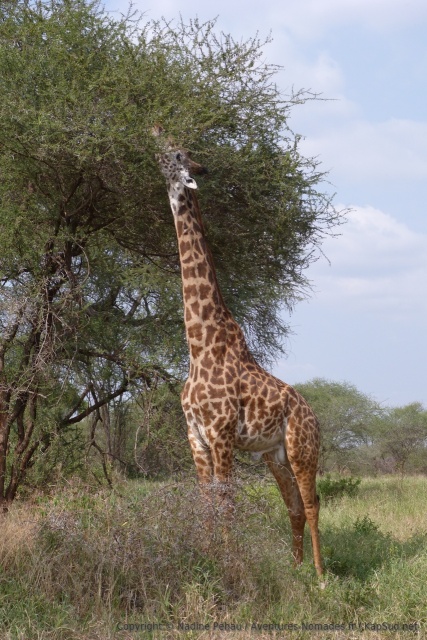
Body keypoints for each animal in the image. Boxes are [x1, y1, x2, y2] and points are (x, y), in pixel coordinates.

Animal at [154, 130, 323, 578]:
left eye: (179, 154)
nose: (156, 148)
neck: (199, 345)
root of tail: (316, 417)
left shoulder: (222, 433)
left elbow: (227, 505)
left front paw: (229, 566)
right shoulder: (195, 436)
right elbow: (207, 504)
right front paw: (205, 559)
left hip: (302, 449)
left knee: (312, 502)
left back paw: (321, 577)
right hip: (273, 455)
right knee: (294, 505)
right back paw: (297, 570)